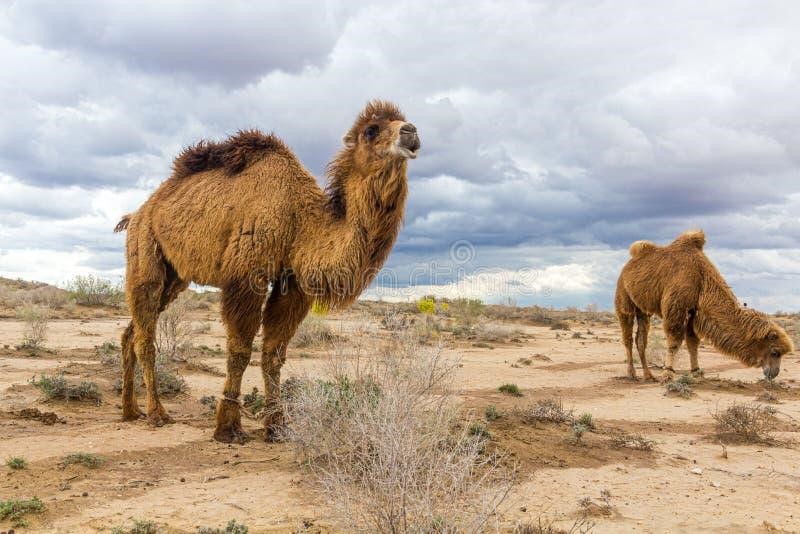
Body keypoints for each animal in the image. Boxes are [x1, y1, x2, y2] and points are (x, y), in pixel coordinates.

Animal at [116, 100, 422, 444]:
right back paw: (157, 413)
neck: (301, 219)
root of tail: (138, 214)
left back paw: (130, 410)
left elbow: (274, 354)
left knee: (131, 332)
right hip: (146, 250)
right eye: (371, 130)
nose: (410, 131)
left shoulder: (293, 283)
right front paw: (228, 427)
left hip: (175, 276)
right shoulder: (247, 274)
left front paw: (277, 427)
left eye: (400, 120)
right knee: (145, 334)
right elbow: (239, 350)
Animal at [616, 230, 792, 382]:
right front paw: (668, 374)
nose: (774, 373)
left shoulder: (694, 311)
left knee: (641, 339)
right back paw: (631, 373)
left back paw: (648, 376)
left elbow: (693, 342)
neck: (702, 279)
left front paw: (696, 372)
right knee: (627, 336)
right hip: (624, 296)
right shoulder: (677, 307)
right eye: (775, 352)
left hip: (643, 309)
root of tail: (627, 266)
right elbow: (674, 341)